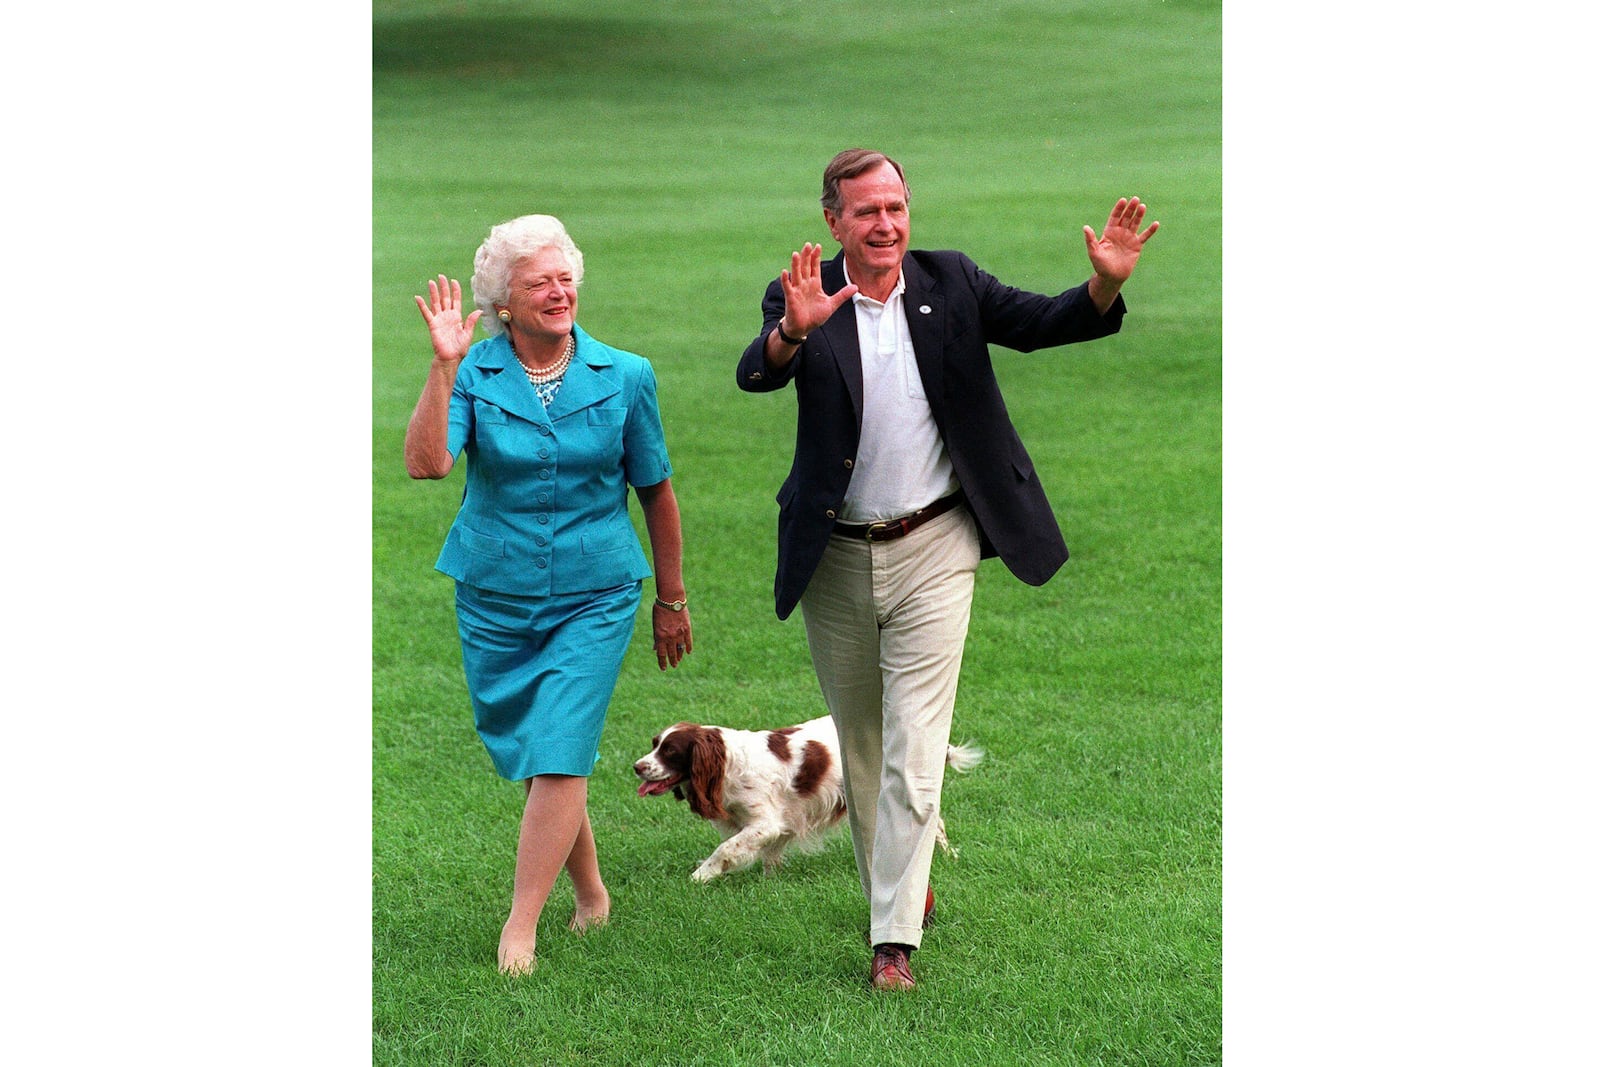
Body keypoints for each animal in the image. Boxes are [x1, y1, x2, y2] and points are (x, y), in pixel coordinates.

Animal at [630, 716, 979, 883]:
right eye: (654, 743)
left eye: (670, 751)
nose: (637, 766)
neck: (728, 762)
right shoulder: (782, 820)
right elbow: (769, 856)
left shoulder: (765, 821)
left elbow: (726, 848)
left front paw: (701, 876)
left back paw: (948, 858)